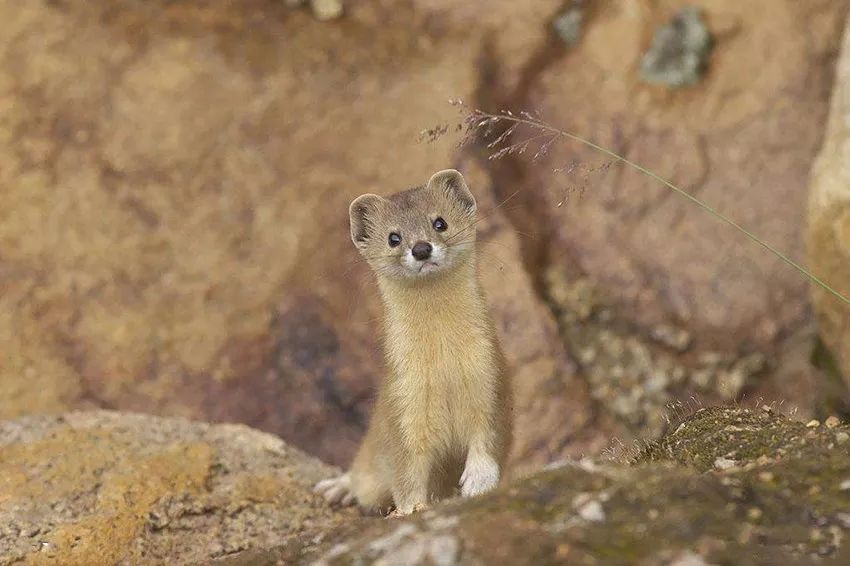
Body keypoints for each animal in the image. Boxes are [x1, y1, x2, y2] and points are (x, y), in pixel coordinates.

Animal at [314, 166, 506, 516]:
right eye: (394, 237)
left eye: (439, 222)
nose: (421, 249)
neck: (444, 366)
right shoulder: (404, 401)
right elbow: (407, 471)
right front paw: (409, 509)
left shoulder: (490, 376)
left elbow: (487, 438)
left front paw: (478, 480)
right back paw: (339, 488)